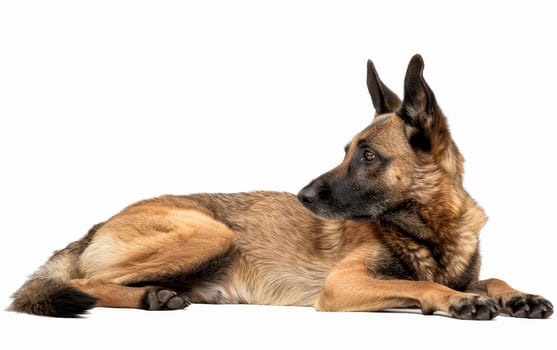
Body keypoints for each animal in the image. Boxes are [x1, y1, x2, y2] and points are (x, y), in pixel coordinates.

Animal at [8, 54, 552, 320]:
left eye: (368, 155)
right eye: (345, 151)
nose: (302, 198)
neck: (431, 228)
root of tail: (96, 225)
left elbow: (491, 277)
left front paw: (517, 295)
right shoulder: (342, 285)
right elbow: (419, 283)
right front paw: (454, 300)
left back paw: (159, 295)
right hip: (212, 233)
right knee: (83, 283)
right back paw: (148, 298)